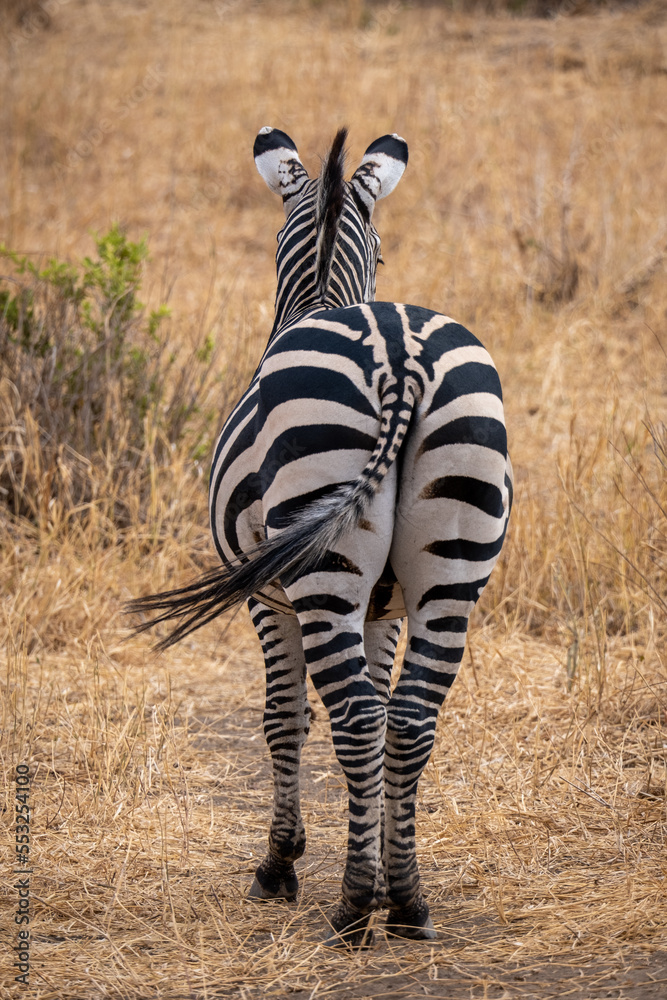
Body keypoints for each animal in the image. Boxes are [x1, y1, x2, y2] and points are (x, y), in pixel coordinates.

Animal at [128, 126, 513, 948]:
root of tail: (401, 355)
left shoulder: (266, 598)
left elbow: (284, 716)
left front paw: (280, 864)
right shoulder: (385, 609)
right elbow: (368, 711)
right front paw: (371, 858)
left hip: (321, 566)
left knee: (362, 719)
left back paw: (352, 907)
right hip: (451, 570)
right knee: (408, 720)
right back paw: (406, 902)